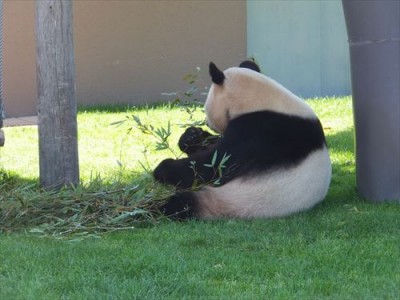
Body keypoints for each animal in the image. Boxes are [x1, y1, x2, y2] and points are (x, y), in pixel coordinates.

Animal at [153, 60, 332, 220]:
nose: (207, 123)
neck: (260, 100)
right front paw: (192, 136)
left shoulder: (256, 133)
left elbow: (213, 164)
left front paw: (163, 167)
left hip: (234, 199)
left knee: (180, 205)